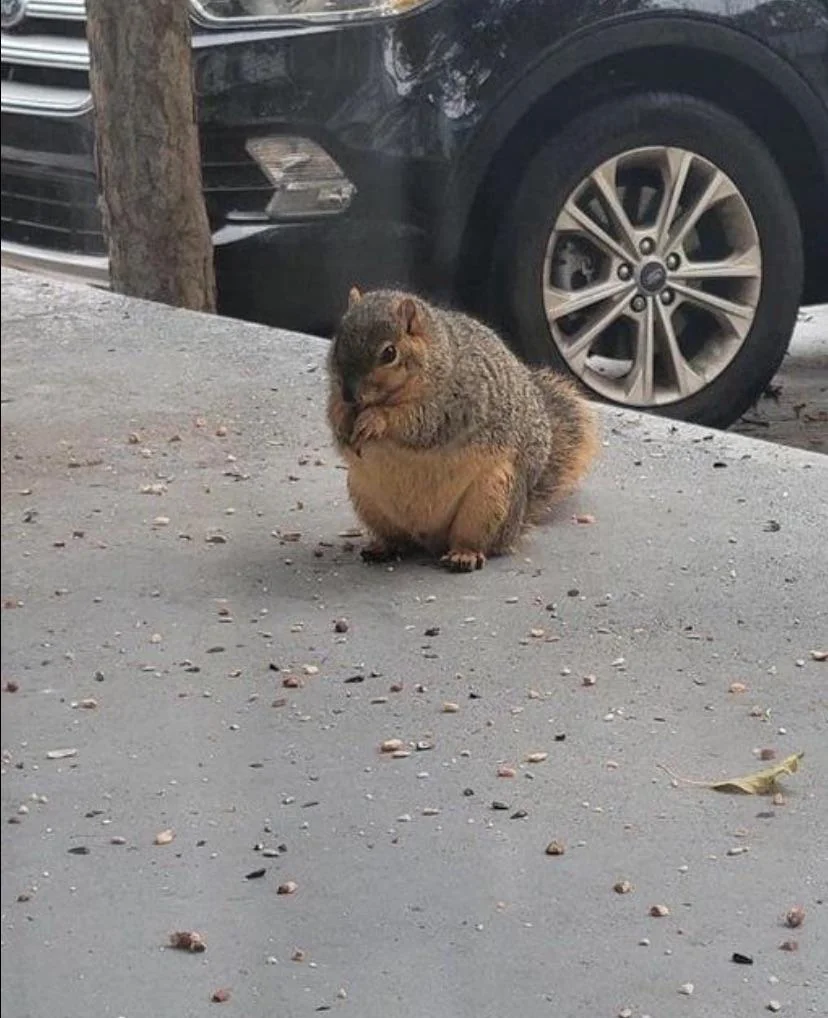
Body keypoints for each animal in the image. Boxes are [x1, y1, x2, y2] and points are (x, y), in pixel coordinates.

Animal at [323, 289, 598, 574]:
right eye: (338, 340)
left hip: (491, 499)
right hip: (367, 498)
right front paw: (342, 419)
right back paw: (384, 548)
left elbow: (419, 422)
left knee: (476, 540)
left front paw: (376, 420)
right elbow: (333, 411)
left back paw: (464, 555)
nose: (350, 395)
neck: (437, 357)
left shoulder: (455, 402)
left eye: (389, 353)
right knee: (400, 540)